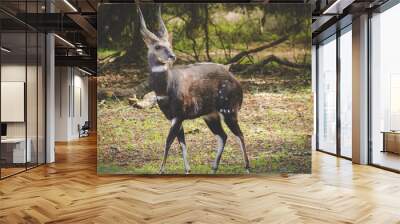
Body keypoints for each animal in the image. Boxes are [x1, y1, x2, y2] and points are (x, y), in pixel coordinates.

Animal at [139, 4, 248, 173]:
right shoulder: (174, 117)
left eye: (169, 44)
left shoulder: (179, 115)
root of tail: (237, 83)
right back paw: (214, 168)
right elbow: (181, 143)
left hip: (228, 110)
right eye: (157, 46)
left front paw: (161, 170)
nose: (172, 56)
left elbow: (168, 141)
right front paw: (187, 170)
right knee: (223, 136)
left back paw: (247, 168)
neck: (166, 89)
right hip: (211, 115)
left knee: (240, 134)